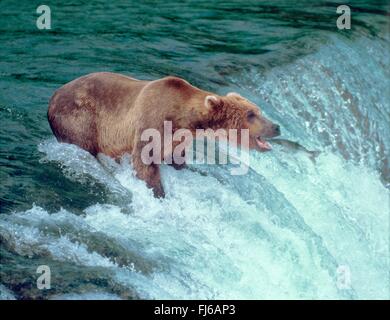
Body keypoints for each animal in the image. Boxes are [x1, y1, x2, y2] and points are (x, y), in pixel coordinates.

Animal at [48, 72, 280, 198]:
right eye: (251, 114)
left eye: (258, 110)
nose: (277, 126)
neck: (183, 118)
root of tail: (52, 97)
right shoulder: (152, 122)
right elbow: (144, 161)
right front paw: (158, 193)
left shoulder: (177, 139)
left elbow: (175, 158)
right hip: (80, 118)